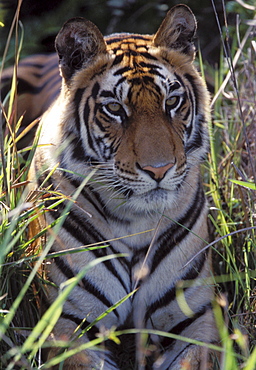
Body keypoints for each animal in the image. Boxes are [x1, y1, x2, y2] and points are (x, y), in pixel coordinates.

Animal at [4, 3, 220, 370]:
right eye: (115, 109)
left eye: (172, 102)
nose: (159, 169)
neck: (136, 221)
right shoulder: (70, 321)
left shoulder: (194, 319)